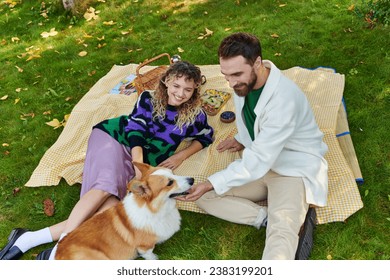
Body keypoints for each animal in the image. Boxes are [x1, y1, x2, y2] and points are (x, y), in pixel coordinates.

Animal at [54, 162, 194, 260]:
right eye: (169, 183)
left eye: (173, 172)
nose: (192, 179)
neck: (156, 210)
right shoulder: (145, 246)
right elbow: (149, 254)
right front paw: (155, 258)